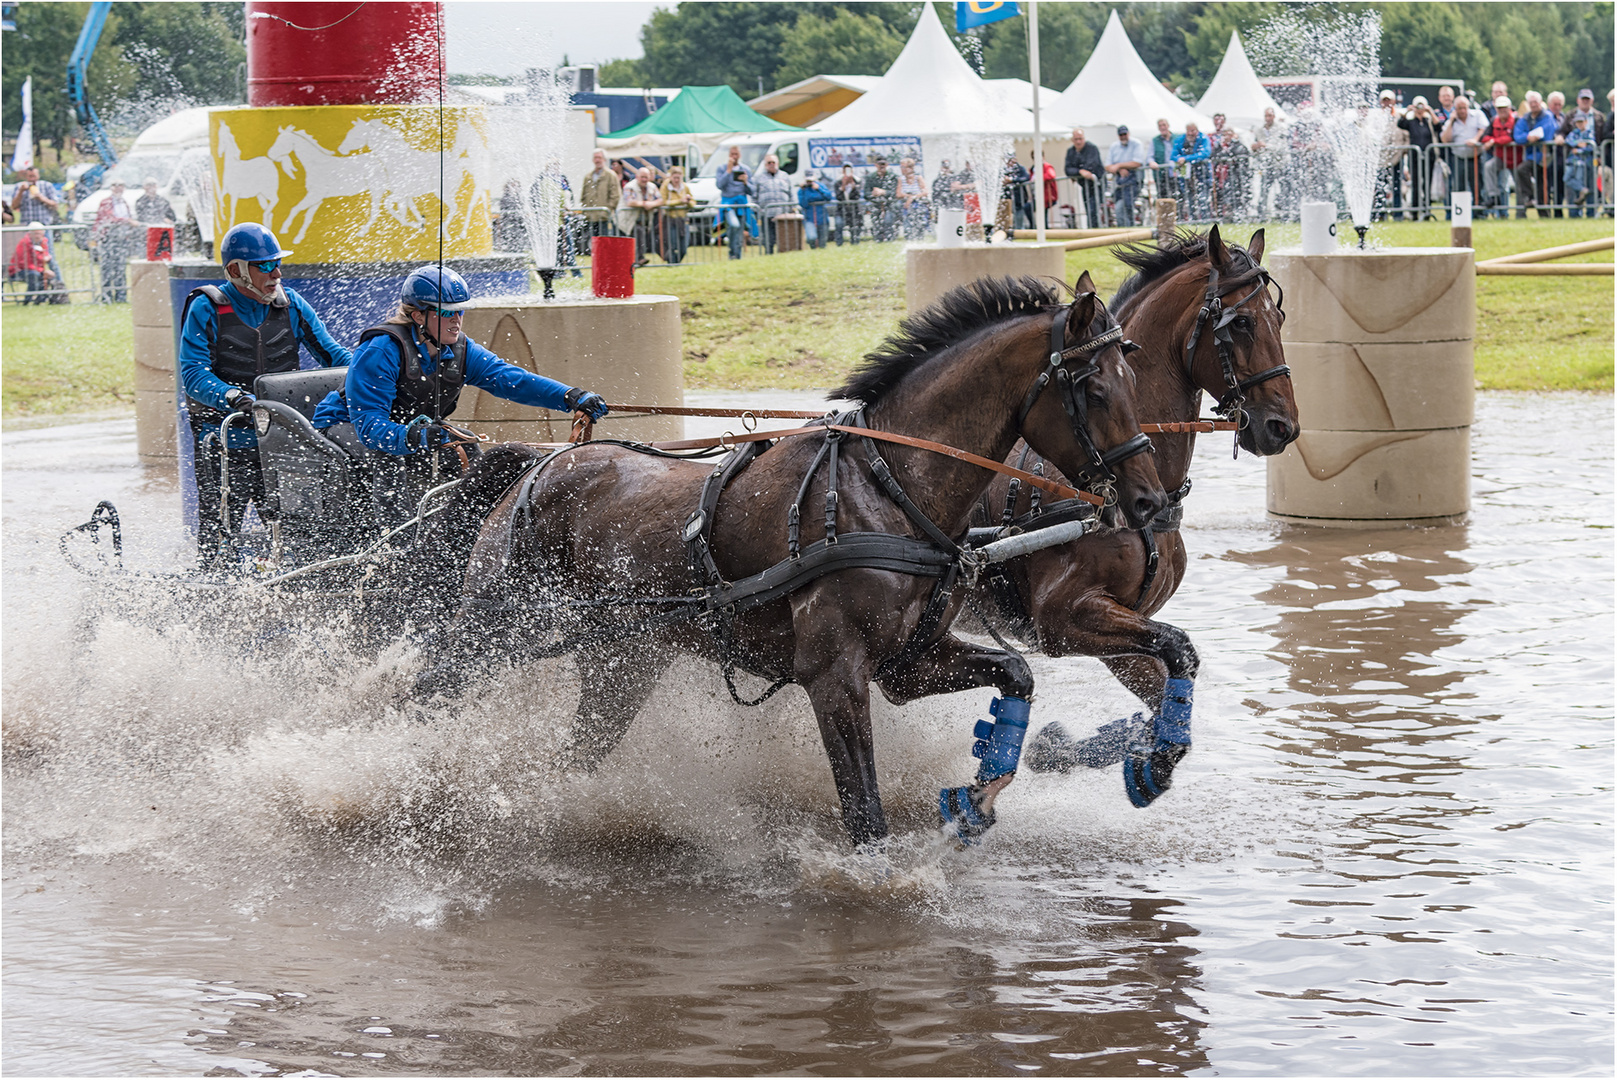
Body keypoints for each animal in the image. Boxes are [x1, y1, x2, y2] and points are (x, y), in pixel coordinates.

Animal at [410, 274, 1157, 847]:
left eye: (1133, 374)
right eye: (1094, 388)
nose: (1147, 498)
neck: (883, 488)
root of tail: (538, 466)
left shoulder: (906, 663)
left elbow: (1016, 672)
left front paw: (979, 796)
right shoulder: (834, 673)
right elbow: (863, 809)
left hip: (621, 661)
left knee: (579, 749)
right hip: (496, 630)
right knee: (427, 692)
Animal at [957, 226, 1300, 801]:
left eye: (1279, 319)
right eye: (1242, 323)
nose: (1283, 427)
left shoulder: (1125, 627)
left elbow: (1164, 699)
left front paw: (1082, 749)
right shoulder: (1064, 619)